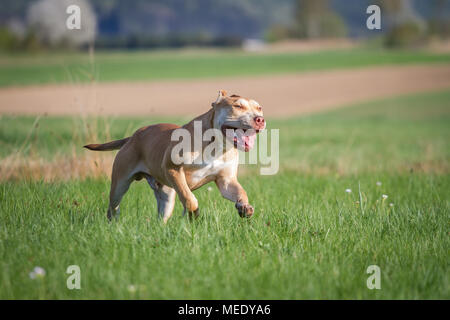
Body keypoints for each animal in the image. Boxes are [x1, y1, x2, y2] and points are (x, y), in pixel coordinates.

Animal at [85, 90, 264, 222]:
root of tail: (133, 136)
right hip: (120, 184)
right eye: (237, 106)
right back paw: (113, 223)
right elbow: (189, 198)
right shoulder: (173, 169)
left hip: (166, 195)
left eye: (259, 108)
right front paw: (194, 214)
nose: (260, 119)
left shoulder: (226, 181)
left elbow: (241, 193)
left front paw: (244, 207)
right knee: (113, 206)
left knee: (162, 214)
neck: (216, 145)